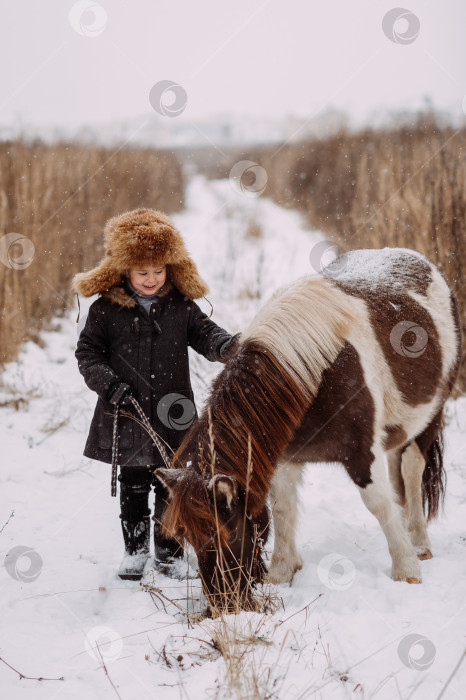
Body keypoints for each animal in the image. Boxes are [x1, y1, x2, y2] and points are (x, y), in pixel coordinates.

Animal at [155, 249, 460, 608]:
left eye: (225, 534)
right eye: (187, 536)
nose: (224, 604)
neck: (310, 372)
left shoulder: (361, 454)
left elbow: (378, 504)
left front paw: (406, 569)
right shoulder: (285, 457)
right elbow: (283, 508)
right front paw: (282, 572)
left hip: (430, 417)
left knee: (412, 470)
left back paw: (419, 542)